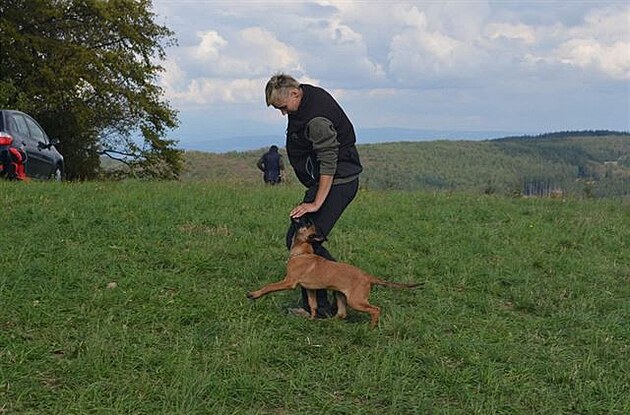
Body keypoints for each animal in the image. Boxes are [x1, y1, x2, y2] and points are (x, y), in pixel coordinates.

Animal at [247, 221, 424, 328]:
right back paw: (327, 322)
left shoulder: (289, 281)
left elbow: (269, 287)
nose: (298, 216)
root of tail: (367, 276)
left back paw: (371, 328)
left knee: (375, 310)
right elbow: (313, 305)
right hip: (340, 295)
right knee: (341, 314)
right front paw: (311, 319)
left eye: (307, 223)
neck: (302, 253)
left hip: (356, 301)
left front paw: (254, 294)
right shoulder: (310, 289)